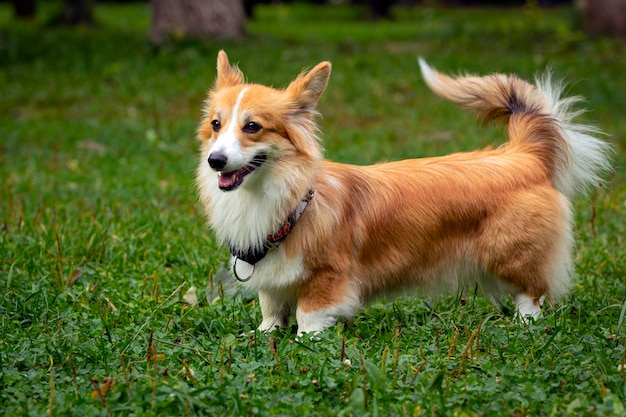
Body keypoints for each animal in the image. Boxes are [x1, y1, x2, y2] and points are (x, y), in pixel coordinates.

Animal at [194, 50, 604, 334]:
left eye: (253, 127)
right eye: (216, 124)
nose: (215, 161)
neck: (288, 199)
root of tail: (524, 155)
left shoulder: (328, 277)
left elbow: (310, 314)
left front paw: (304, 340)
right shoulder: (269, 277)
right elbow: (271, 309)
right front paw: (265, 334)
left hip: (509, 253)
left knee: (531, 292)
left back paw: (524, 324)